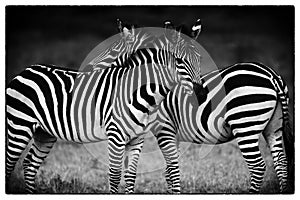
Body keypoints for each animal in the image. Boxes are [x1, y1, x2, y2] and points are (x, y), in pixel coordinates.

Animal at [5, 21, 202, 193]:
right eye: (179, 61)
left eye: (199, 59)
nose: (199, 94)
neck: (139, 92)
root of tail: (27, 70)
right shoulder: (115, 137)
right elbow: (114, 176)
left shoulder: (137, 139)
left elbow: (131, 176)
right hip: (19, 126)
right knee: (9, 164)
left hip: (44, 132)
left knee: (30, 164)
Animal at [150, 61, 292, 193]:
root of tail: (271, 74)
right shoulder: (172, 135)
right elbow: (169, 171)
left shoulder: (164, 130)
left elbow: (171, 171)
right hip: (274, 126)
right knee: (281, 162)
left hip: (245, 125)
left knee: (257, 166)